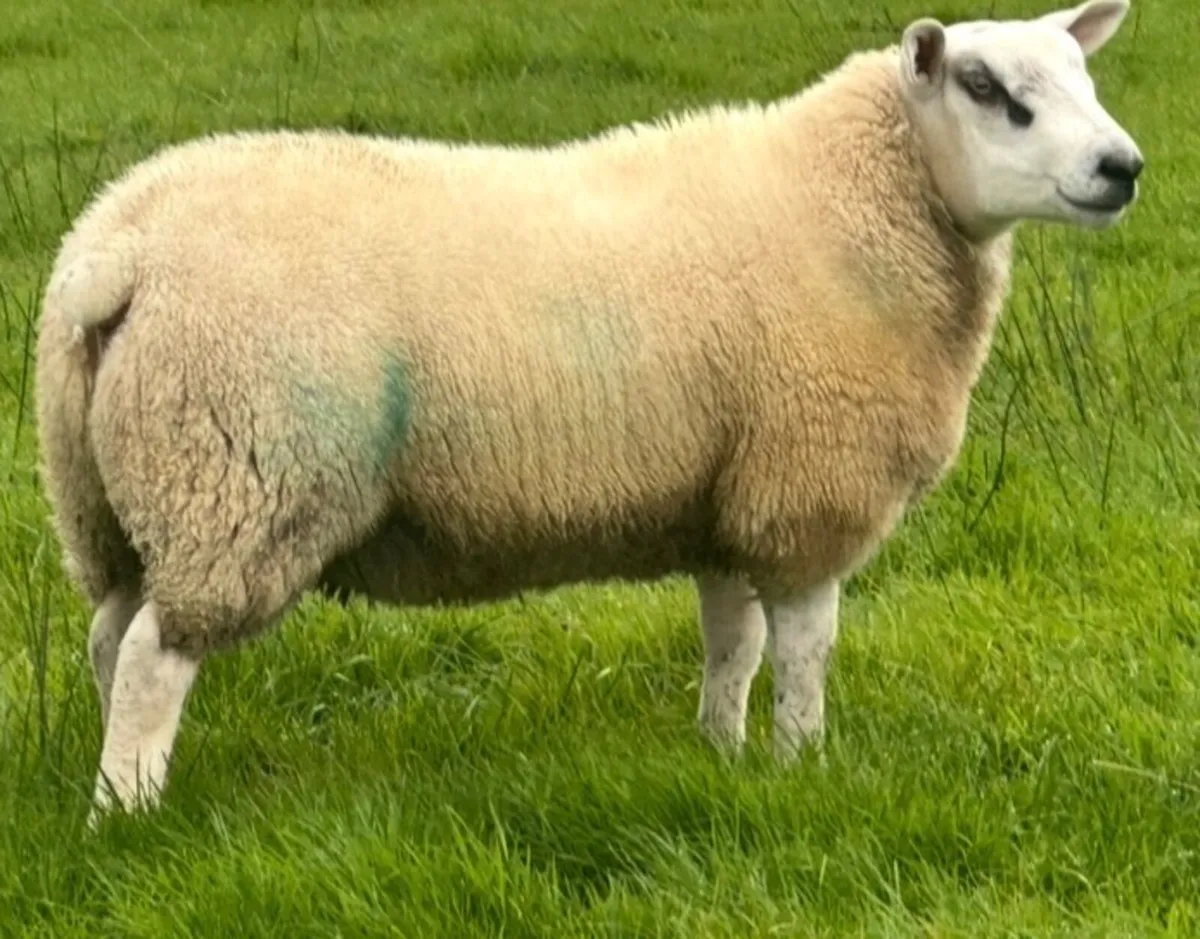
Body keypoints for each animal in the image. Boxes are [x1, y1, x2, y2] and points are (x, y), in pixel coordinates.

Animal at [33, 0, 1143, 821]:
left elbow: (731, 644)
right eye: (991, 91)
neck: (856, 204)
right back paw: (126, 815)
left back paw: (120, 787)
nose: (1123, 169)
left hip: (115, 496)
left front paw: (721, 754)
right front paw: (803, 766)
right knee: (154, 658)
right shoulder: (807, 489)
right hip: (240, 476)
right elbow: (805, 650)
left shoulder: (724, 494)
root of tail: (113, 254)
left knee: (109, 637)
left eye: (1084, 78)